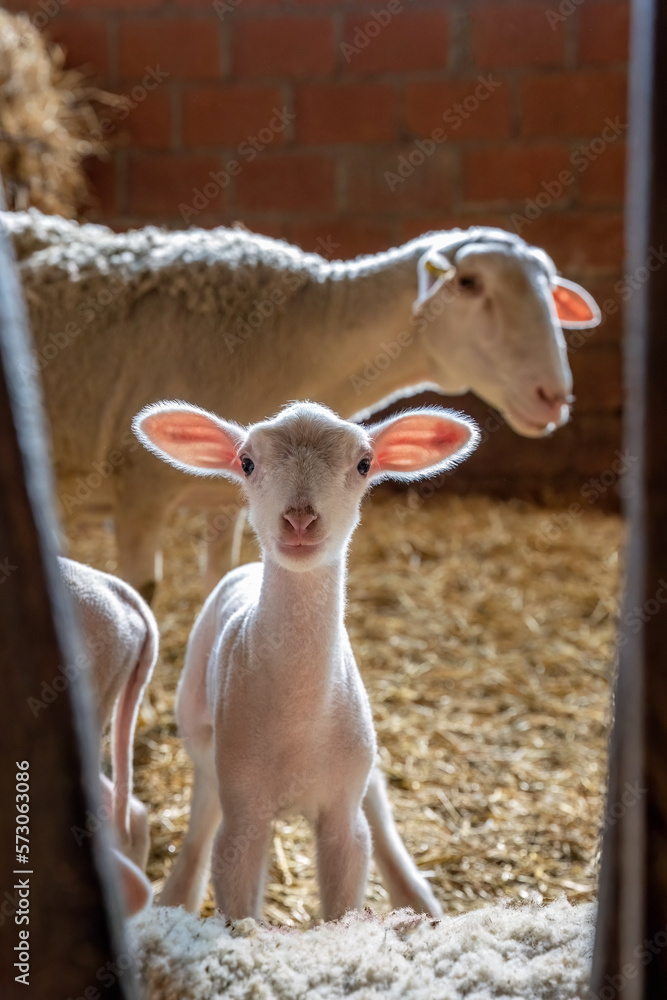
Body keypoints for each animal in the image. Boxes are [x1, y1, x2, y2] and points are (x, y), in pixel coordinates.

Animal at [5, 209, 600, 601]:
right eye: (471, 283)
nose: (553, 397)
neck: (292, 338)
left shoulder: (226, 501)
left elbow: (219, 582)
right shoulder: (140, 494)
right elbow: (141, 594)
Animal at [133, 398, 479, 920]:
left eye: (364, 464)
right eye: (247, 463)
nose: (299, 519)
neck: (298, 717)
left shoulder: (343, 815)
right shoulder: (244, 813)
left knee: (376, 797)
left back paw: (415, 895)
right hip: (200, 731)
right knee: (203, 811)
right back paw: (177, 896)